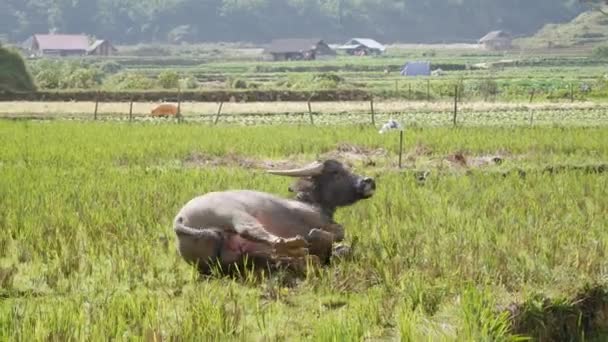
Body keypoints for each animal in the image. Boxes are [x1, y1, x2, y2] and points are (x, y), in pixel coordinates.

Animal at [173, 159, 376, 274]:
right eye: (336, 172)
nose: (369, 181)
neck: (310, 202)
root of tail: (178, 222)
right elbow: (340, 231)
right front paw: (316, 237)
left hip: (235, 258)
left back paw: (300, 259)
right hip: (234, 214)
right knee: (253, 232)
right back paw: (297, 246)